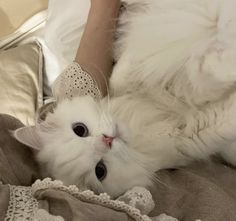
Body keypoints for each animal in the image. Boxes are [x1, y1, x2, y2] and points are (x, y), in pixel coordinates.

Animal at [13, 0, 236, 197]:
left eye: (79, 130)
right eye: (100, 171)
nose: (107, 140)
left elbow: (127, 69)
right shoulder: (193, 135)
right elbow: (214, 76)